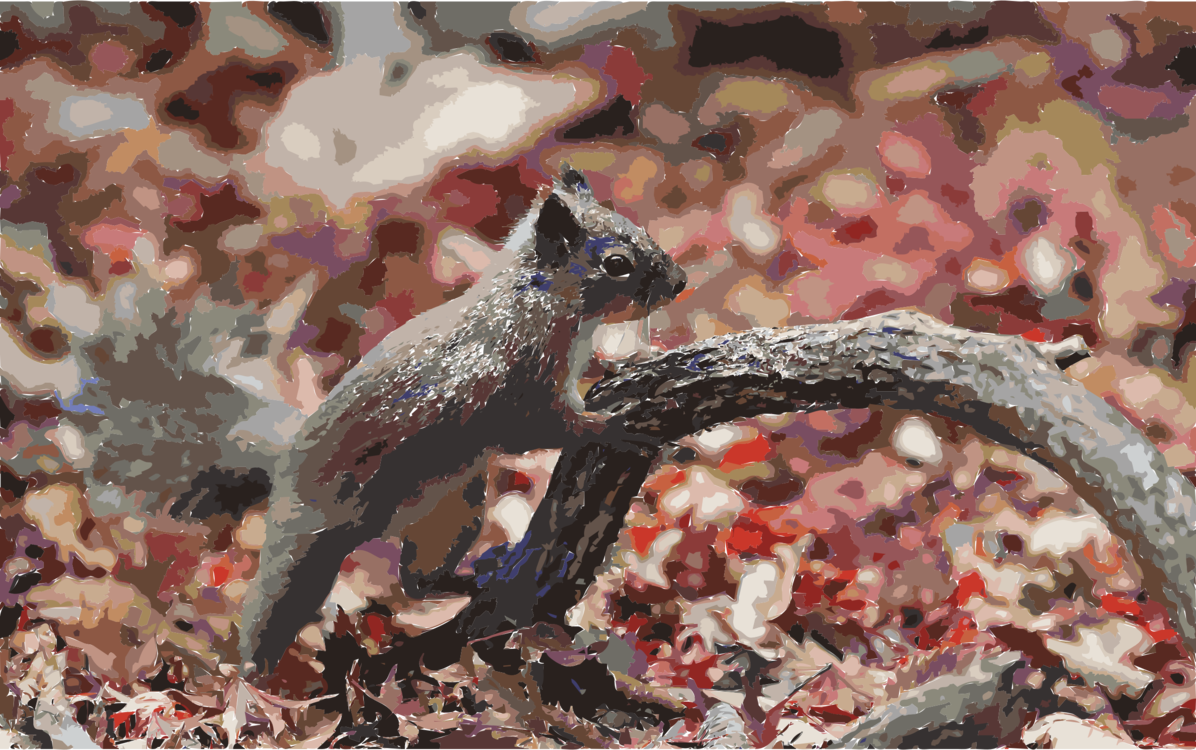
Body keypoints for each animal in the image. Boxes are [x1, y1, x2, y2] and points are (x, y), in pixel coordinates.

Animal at [238, 165, 688, 674]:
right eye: (616, 263)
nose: (680, 282)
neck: (538, 297)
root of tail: (284, 485)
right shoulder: (515, 387)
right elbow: (545, 427)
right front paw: (612, 427)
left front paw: (631, 357)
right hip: (314, 549)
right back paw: (250, 680)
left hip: (455, 509)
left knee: (416, 582)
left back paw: (476, 579)